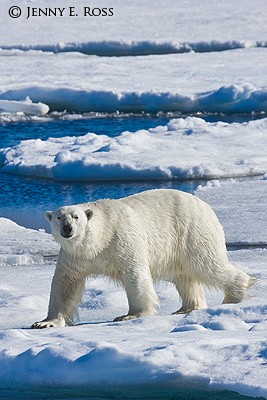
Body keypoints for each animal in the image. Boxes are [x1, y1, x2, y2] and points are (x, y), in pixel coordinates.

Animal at [31, 190, 258, 328]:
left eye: (76, 217)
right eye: (59, 217)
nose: (67, 229)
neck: (99, 240)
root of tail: (205, 205)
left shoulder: (122, 240)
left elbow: (135, 275)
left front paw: (130, 315)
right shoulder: (74, 257)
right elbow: (65, 284)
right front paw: (44, 322)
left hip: (191, 231)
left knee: (207, 265)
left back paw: (234, 296)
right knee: (184, 277)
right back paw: (186, 308)